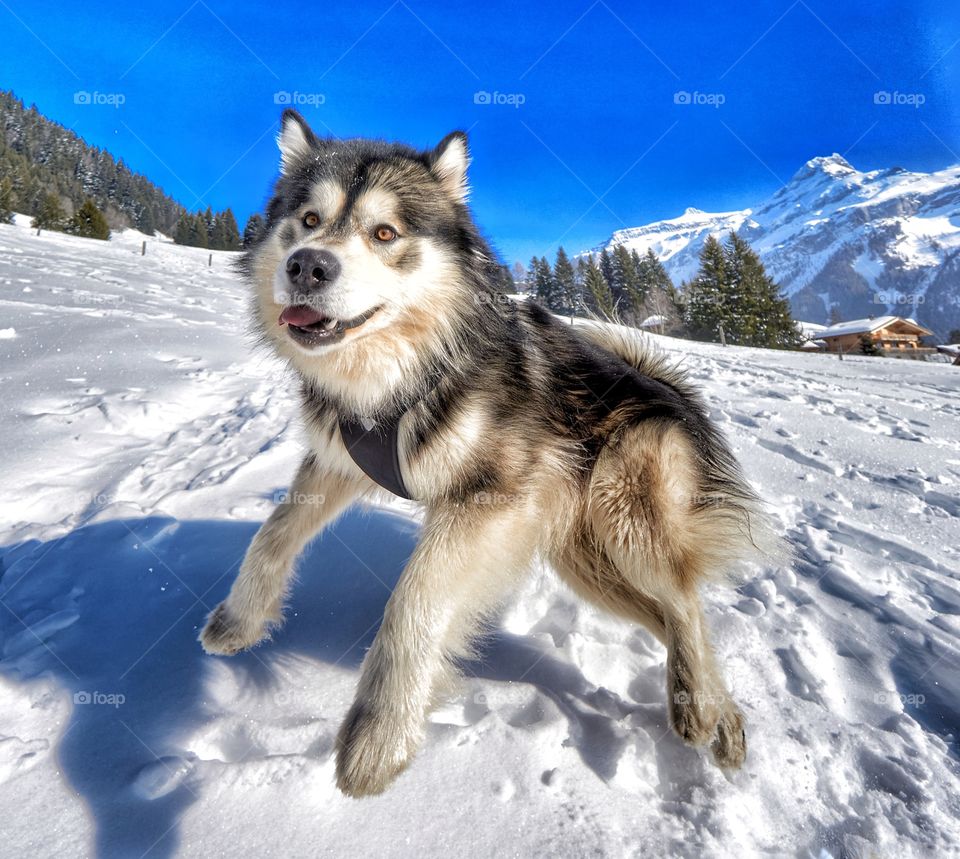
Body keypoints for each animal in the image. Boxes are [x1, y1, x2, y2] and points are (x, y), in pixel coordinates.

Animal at [200, 109, 777, 797]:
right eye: (309, 221)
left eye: (385, 232)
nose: (306, 266)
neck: (407, 371)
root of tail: (668, 386)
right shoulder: (339, 462)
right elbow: (272, 533)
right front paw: (240, 620)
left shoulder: (486, 503)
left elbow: (414, 599)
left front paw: (380, 736)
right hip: (586, 561)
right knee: (666, 611)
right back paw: (715, 709)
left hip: (625, 515)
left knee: (684, 601)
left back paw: (700, 708)